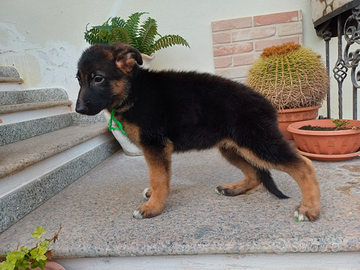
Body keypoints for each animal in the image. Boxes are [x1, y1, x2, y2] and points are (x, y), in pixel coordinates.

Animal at [75, 42, 320, 221]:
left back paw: (310, 208)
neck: (133, 90)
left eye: (98, 79)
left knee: (303, 166)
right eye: (79, 80)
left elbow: (158, 178)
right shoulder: (157, 149)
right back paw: (233, 189)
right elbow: (162, 177)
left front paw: (153, 207)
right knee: (255, 174)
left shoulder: (155, 145)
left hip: (257, 143)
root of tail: (267, 104)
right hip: (233, 147)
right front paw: (155, 197)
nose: (78, 109)